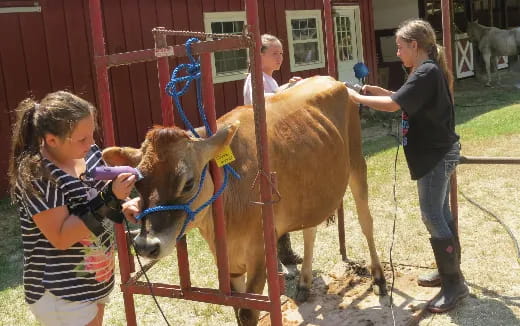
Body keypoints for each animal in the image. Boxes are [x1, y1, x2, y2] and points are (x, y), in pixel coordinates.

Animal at [102, 76, 386, 324]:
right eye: (137, 183)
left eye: (188, 183)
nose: (145, 246)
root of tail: (330, 79)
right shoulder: (227, 260)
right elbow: (238, 310)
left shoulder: (260, 252)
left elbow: (249, 312)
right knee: (310, 230)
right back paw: (304, 284)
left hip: (357, 162)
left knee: (366, 221)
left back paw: (379, 279)